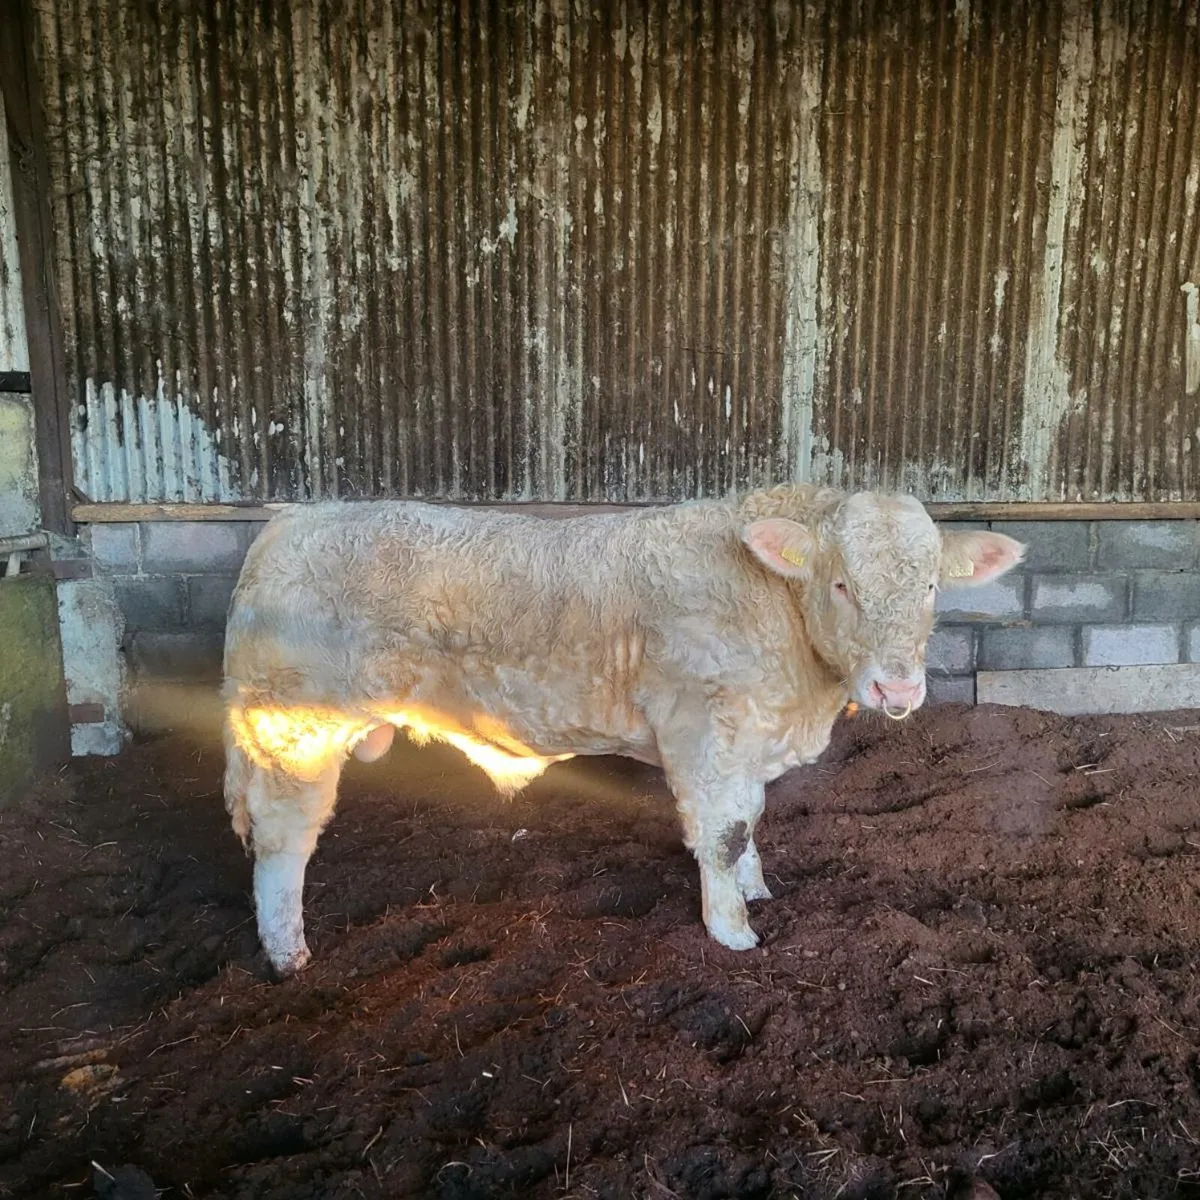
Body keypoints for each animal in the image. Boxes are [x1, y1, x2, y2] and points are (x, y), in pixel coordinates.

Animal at [222, 487, 1024, 974]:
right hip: (293, 729)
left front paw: (757, 886)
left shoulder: (745, 742)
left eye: (930, 586)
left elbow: (750, 819)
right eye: (842, 585)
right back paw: (289, 954)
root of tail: (292, 521)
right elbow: (721, 832)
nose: (898, 688)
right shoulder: (705, 731)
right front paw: (732, 929)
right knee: (284, 840)